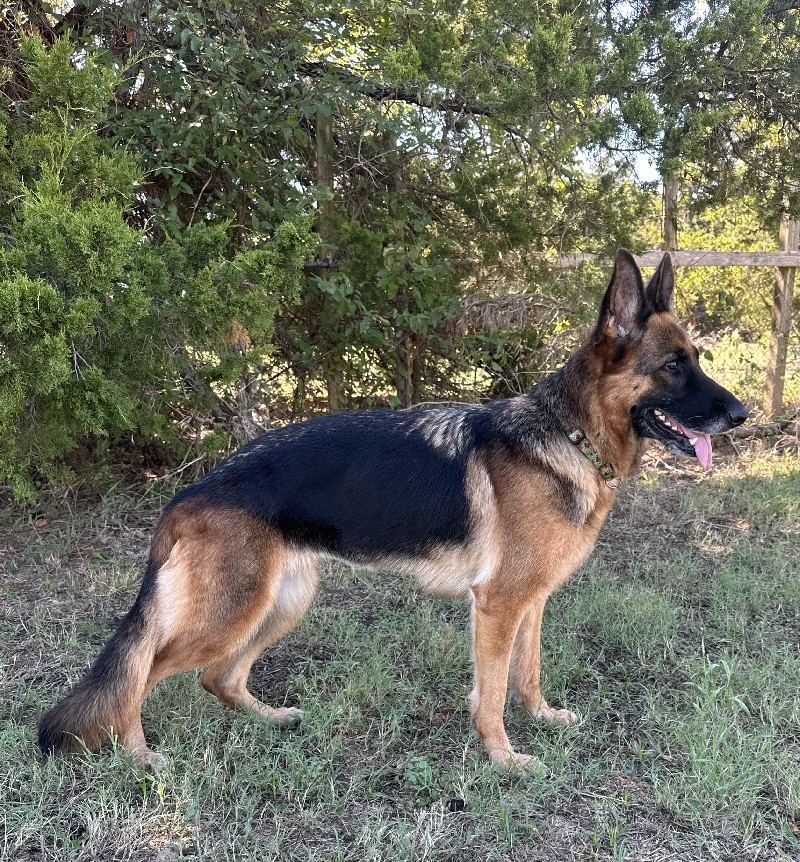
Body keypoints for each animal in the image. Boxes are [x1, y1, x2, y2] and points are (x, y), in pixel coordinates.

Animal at [39, 250, 752, 768]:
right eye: (674, 366)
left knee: (218, 678)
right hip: (230, 613)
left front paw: (542, 719)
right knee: (142, 673)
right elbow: (492, 694)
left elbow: (526, 674)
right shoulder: (497, 606)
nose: (743, 414)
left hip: (283, 603)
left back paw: (269, 719)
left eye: (697, 360)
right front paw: (503, 759)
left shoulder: (531, 601)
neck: (568, 434)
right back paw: (139, 758)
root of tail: (189, 493)